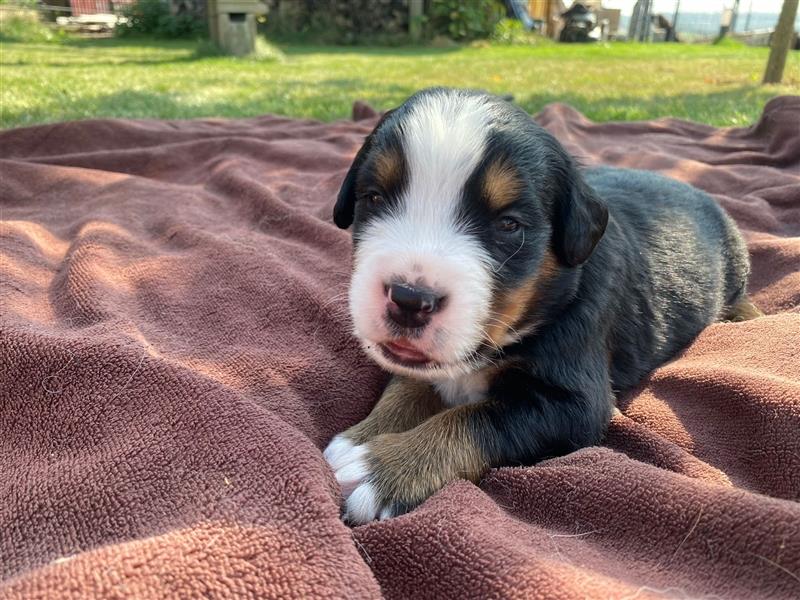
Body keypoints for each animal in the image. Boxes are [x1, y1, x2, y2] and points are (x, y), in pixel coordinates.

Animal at [324, 88, 756, 524]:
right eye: (374, 198)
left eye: (508, 225)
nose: (409, 297)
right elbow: (407, 386)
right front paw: (360, 438)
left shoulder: (576, 402)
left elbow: (473, 419)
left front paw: (384, 470)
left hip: (735, 262)